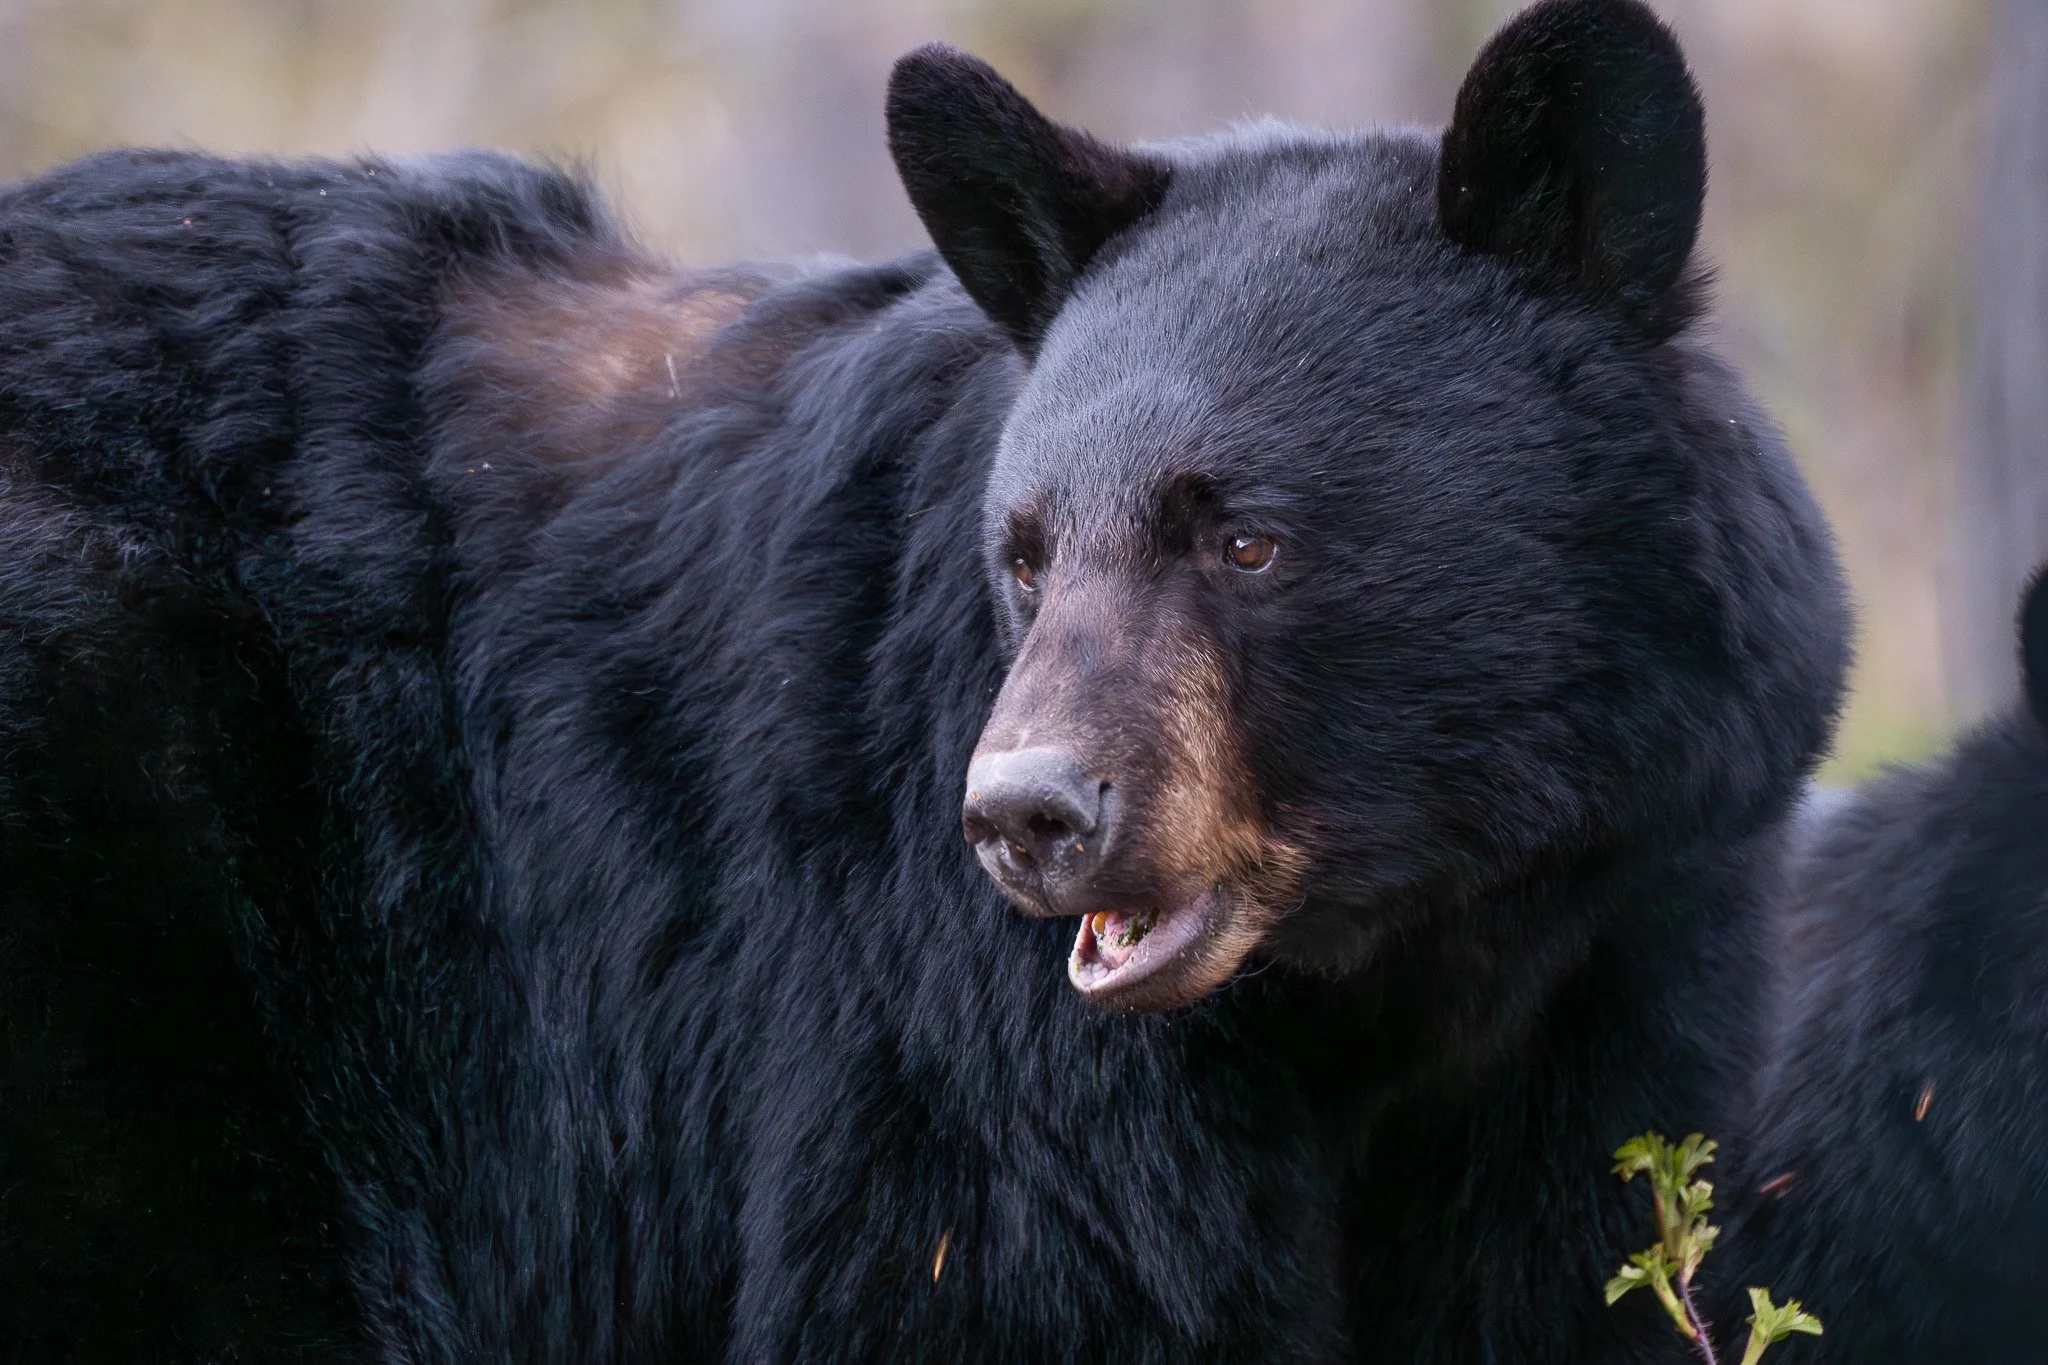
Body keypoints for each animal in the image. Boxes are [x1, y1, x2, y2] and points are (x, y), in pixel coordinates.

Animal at [1, 0, 2043, 1361]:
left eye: (1244, 537)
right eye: (1029, 548)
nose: (1025, 818)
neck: (1402, 959)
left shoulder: (1631, 956)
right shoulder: (929, 1018)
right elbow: (1003, 1287)